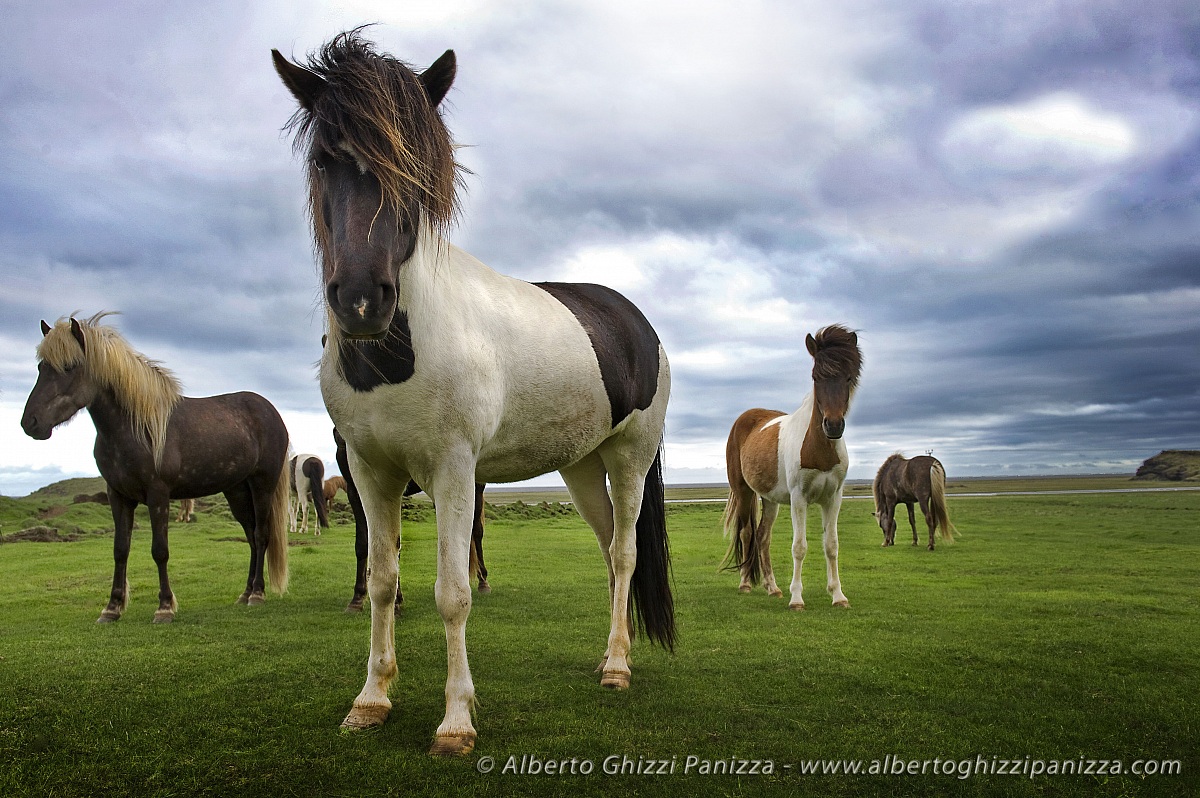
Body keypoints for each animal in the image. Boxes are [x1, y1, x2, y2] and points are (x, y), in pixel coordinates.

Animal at [20, 312, 290, 622]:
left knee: (261, 534)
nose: (30, 422)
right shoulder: (118, 496)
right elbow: (120, 550)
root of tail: (271, 412)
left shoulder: (158, 495)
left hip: (262, 485)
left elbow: (160, 550)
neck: (136, 428)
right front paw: (112, 608)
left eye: (69, 366)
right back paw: (245, 594)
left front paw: (164, 607)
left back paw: (257, 594)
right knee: (251, 536)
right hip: (236, 490)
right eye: (41, 367)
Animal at [334, 427, 490, 615]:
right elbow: (363, 543)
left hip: (475, 487)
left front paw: (396, 601)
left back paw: (483, 581)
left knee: (477, 531)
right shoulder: (354, 489)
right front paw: (357, 598)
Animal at [722, 325, 863, 610]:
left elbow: (831, 545)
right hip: (744, 491)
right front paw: (796, 598)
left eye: (848, 377)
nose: (833, 425)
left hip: (770, 498)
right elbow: (799, 546)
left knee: (763, 536)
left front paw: (838, 595)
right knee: (746, 533)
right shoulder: (799, 498)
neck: (818, 448)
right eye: (816, 377)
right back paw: (745, 583)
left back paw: (772, 587)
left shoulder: (833, 498)